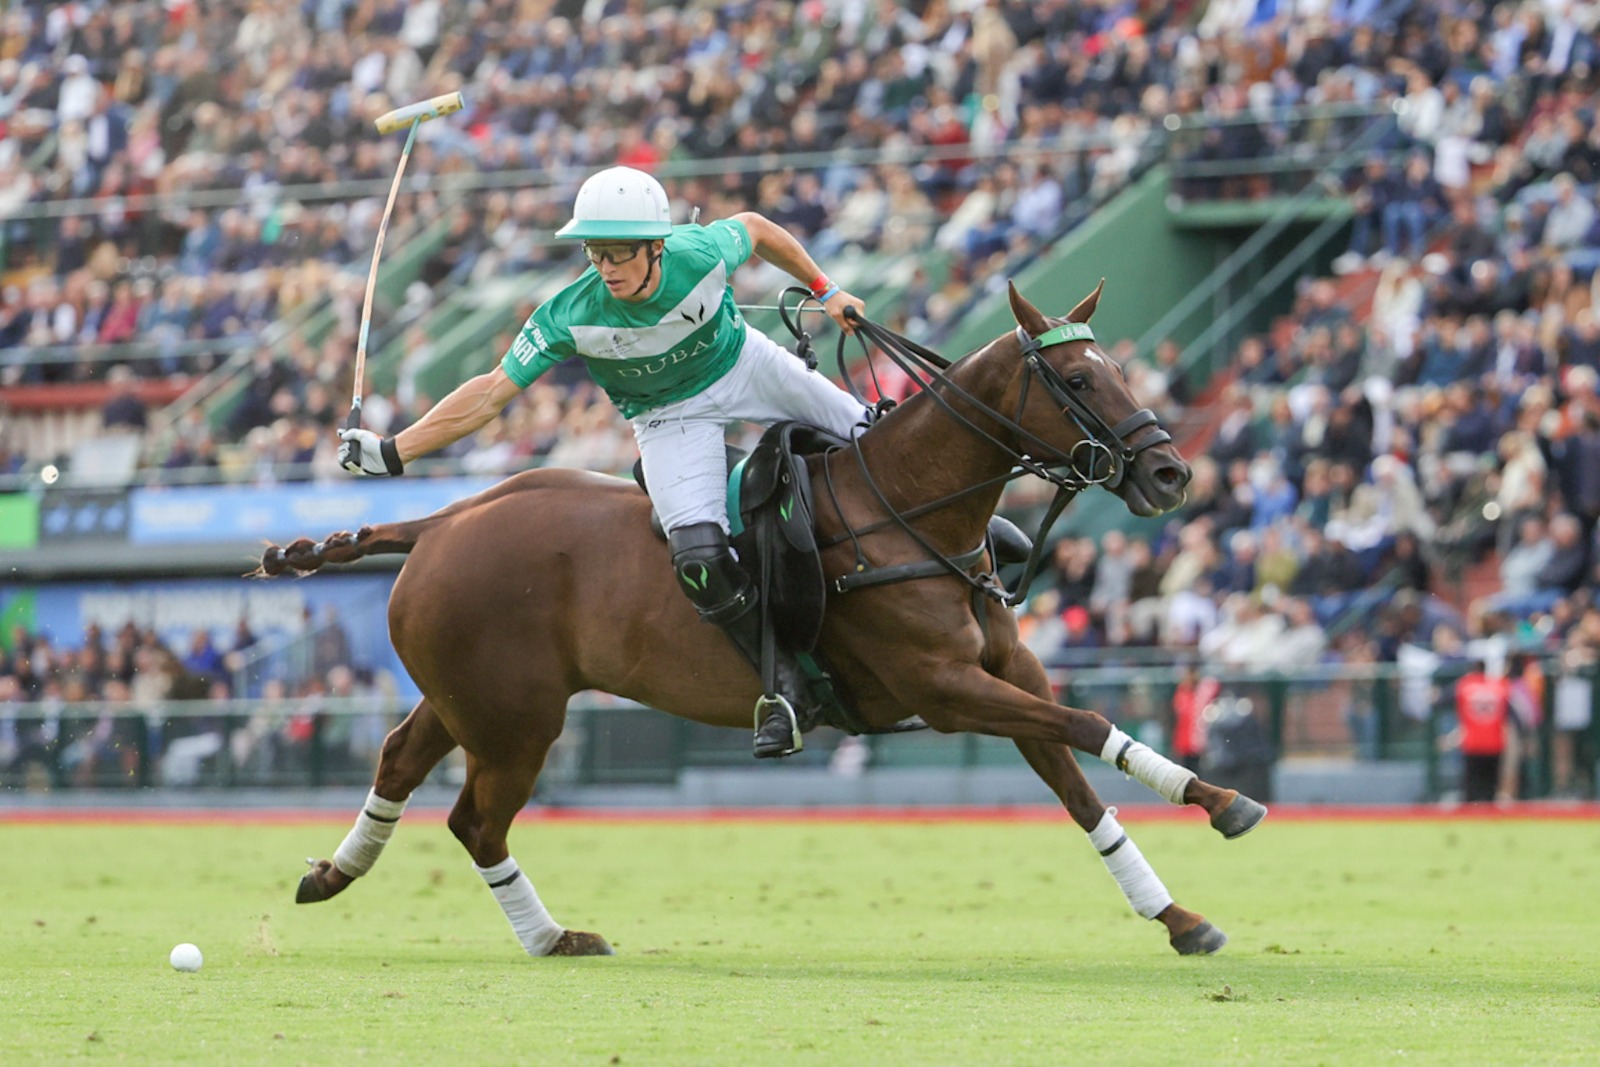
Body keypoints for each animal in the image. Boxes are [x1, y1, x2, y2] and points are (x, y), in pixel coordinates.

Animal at [265, 283, 1260, 959]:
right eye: (1077, 376)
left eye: (1120, 366)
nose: (1171, 473)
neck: (909, 509)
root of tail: (440, 520)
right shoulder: (945, 690)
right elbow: (1088, 722)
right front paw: (1222, 804)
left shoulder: (1009, 675)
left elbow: (1082, 782)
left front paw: (1180, 910)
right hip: (515, 719)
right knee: (476, 821)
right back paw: (550, 935)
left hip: (471, 696)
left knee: (401, 757)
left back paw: (333, 871)